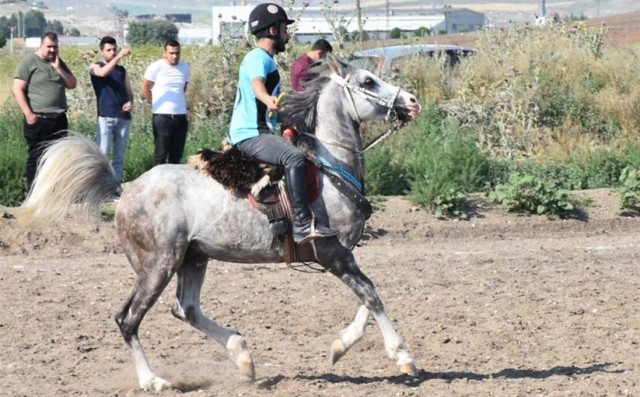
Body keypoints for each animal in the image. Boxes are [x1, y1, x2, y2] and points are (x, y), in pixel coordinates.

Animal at [6, 54, 424, 392]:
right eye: (368, 82)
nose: (412, 102)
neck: (329, 168)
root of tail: (126, 190)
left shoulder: (344, 255)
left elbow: (368, 299)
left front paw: (340, 346)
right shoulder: (333, 252)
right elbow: (370, 294)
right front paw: (403, 356)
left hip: (193, 257)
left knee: (185, 308)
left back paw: (242, 356)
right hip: (157, 265)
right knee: (128, 319)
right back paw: (153, 380)